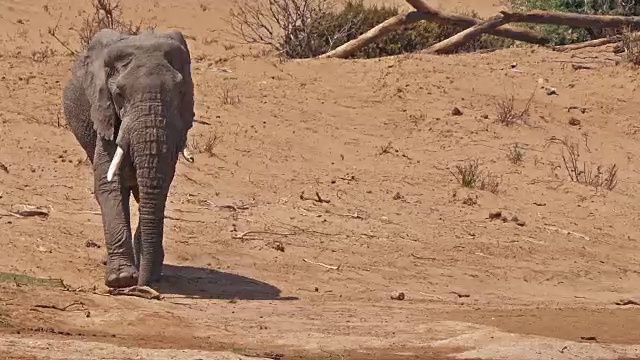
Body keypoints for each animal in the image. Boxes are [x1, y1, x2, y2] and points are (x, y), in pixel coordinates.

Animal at [64, 28, 198, 288]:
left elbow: (161, 184)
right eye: (118, 94)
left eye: (180, 92)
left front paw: (146, 272)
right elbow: (108, 184)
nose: (143, 285)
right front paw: (122, 279)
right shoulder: (105, 113)